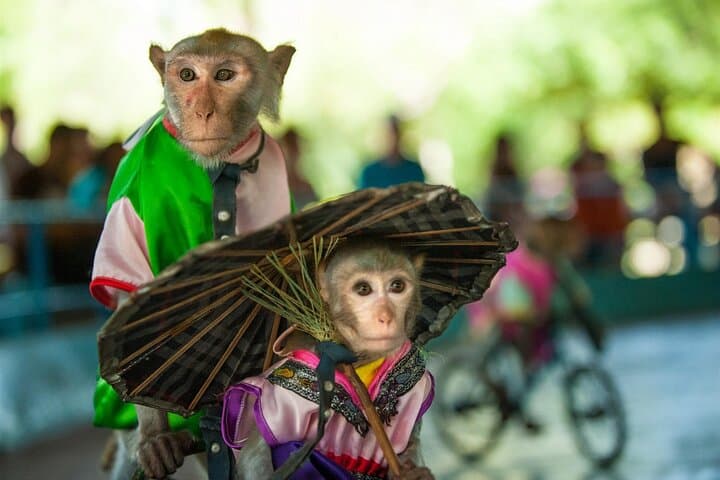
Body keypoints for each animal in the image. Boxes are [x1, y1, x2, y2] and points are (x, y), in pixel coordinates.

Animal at [91, 28, 295, 480]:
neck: (220, 167)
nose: (202, 111)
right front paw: (155, 438)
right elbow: (131, 302)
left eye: (224, 75)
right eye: (187, 75)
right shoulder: (132, 195)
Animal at [222, 240, 436, 479]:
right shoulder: (277, 398)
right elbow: (255, 454)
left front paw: (410, 473)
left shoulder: (420, 383)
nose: (386, 317)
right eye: (363, 289)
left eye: (397, 286)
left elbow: (410, 446)